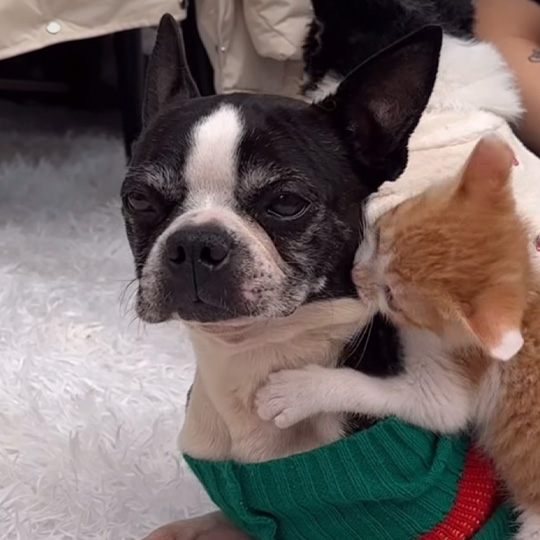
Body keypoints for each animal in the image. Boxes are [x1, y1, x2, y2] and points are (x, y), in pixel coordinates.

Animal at [256, 136, 540, 540]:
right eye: (378, 235)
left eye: (393, 297)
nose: (355, 274)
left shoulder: (451, 388)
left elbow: (408, 400)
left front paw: (296, 392)